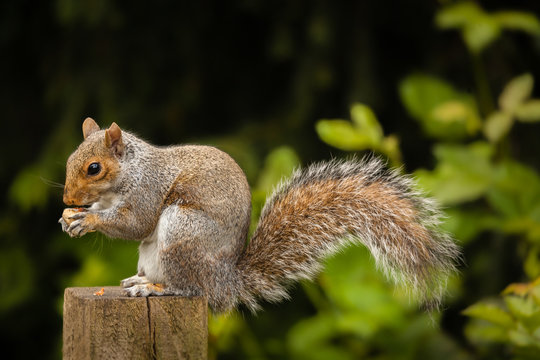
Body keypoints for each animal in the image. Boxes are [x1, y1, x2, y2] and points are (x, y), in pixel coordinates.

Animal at [60, 117, 460, 312]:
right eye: (69, 160)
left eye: (94, 168)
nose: (67, 196)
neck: (132, 170)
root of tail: (224, 283)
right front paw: (71, 217)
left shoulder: (148, 190)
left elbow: (135, 222)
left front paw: (87, 219)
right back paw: (138, 280)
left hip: (182, 232)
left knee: (188, 289)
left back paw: (154, 288)